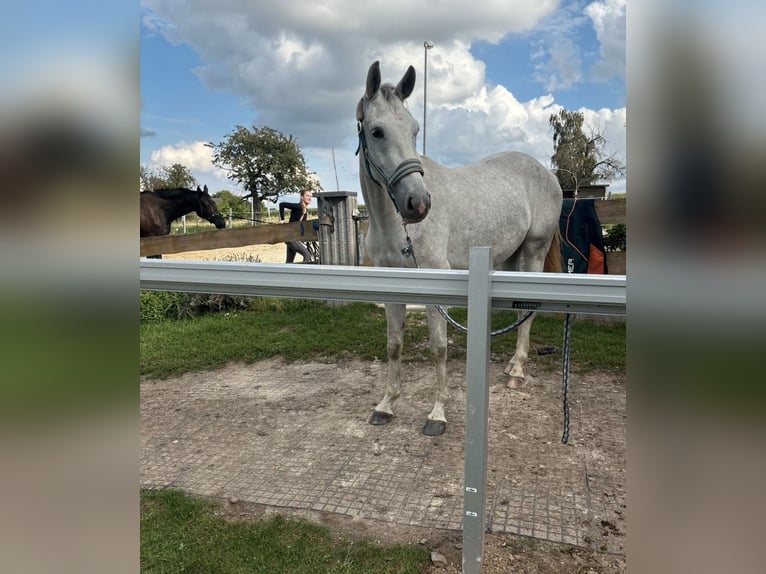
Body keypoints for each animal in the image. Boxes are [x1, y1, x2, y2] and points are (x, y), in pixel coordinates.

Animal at [356, 61, 563, 436]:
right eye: (377, 131)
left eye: (414, 130)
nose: (419, 203)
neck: (394, 225)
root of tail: (546, 173)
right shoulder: (391, 285)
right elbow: (394, 346)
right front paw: (386, 404)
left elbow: (438, 348)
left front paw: (437, 413)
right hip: (508, 258)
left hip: (533, 252)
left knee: (528, 310)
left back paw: (517, 370)